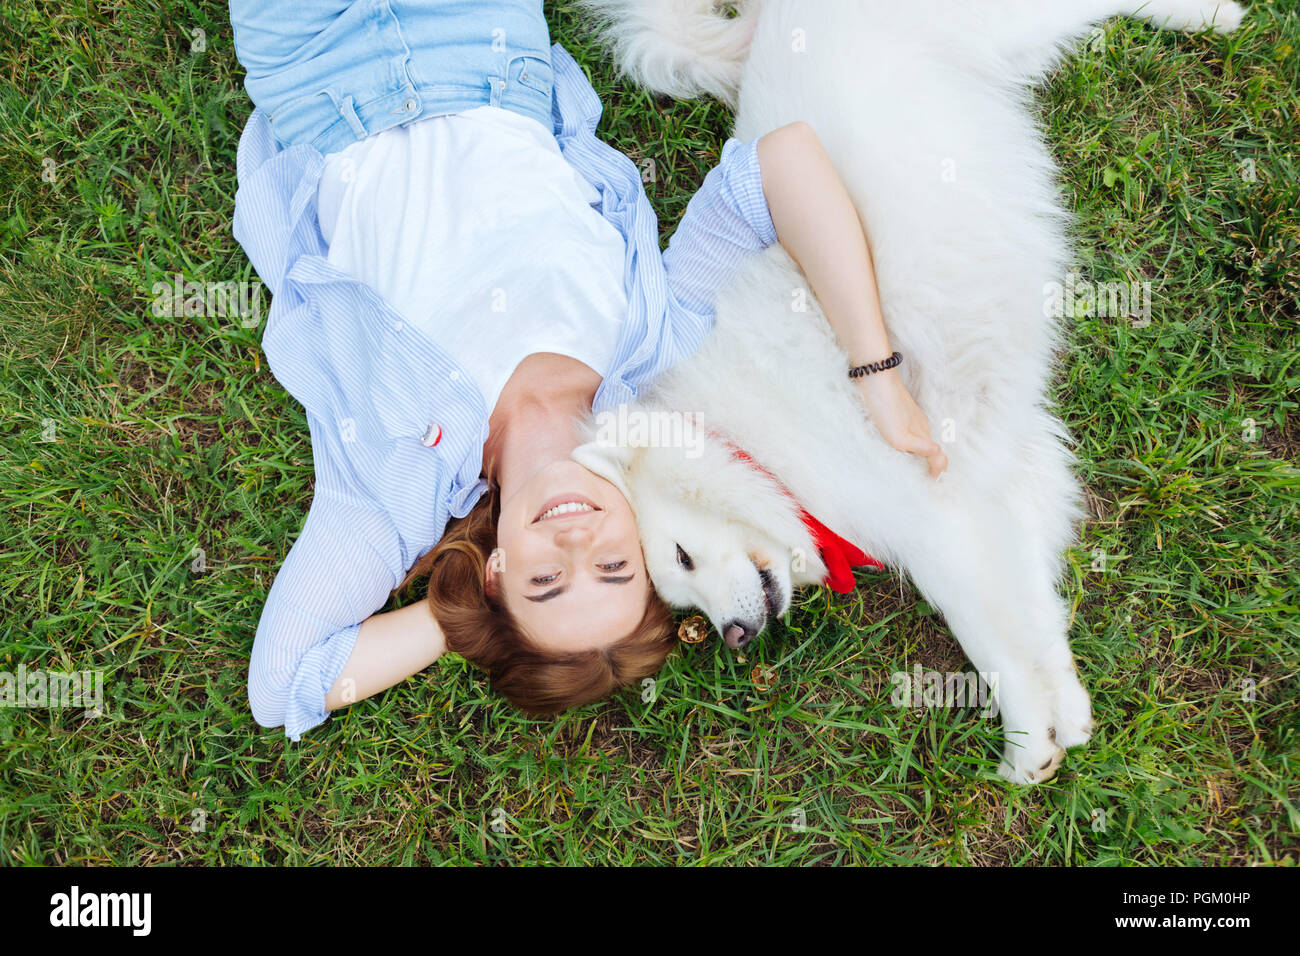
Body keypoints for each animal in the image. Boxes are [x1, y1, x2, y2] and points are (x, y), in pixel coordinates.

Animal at [574, 0, 1242, 785]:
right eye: (685, 603)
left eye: (680, 556)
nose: (735, 637)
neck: (752, 446)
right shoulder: (995, 492)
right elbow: (1029, 613)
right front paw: (1061, 717)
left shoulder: (930, 504)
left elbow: (983, 626)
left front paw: (1024, 740)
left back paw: (1215, 16)